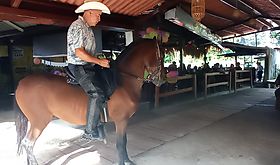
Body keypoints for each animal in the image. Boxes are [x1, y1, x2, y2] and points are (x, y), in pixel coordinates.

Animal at [15, 39, 163, 165]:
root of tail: (21, 83)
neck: (122, 81)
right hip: (39, 121)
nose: (160, 80)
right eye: (160, 56)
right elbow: (120, 144)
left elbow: (124, 142)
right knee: (28, 144)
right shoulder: (121, 121)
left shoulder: (123, 121)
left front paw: (128, 160)